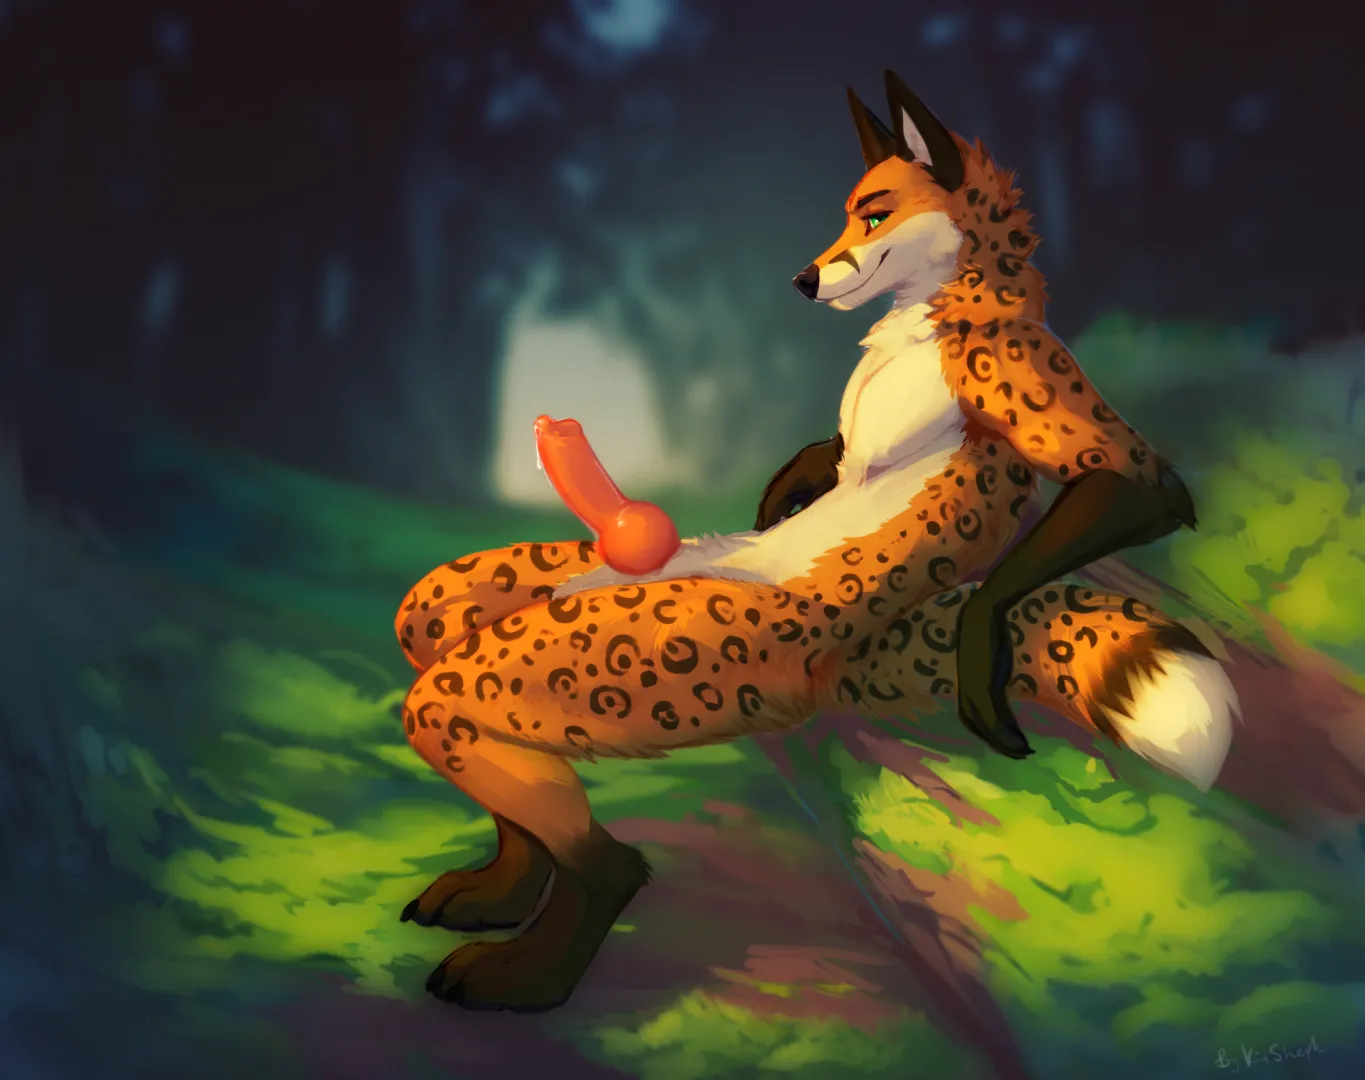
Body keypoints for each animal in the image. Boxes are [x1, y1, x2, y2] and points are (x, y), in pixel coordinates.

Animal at [391, 70, 1240, 1013]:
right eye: (849, 213)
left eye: (873, 214)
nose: (800, 280)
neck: (938, 317)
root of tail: (844, 669)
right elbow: (824, 455)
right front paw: (787, 488)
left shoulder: (1037, 389)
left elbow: (1126, 486)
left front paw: (978, 661)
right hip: (481, 604)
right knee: (429, 622)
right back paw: (498, 892)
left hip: (559, 663)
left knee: (510, 768)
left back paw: (532, 973)